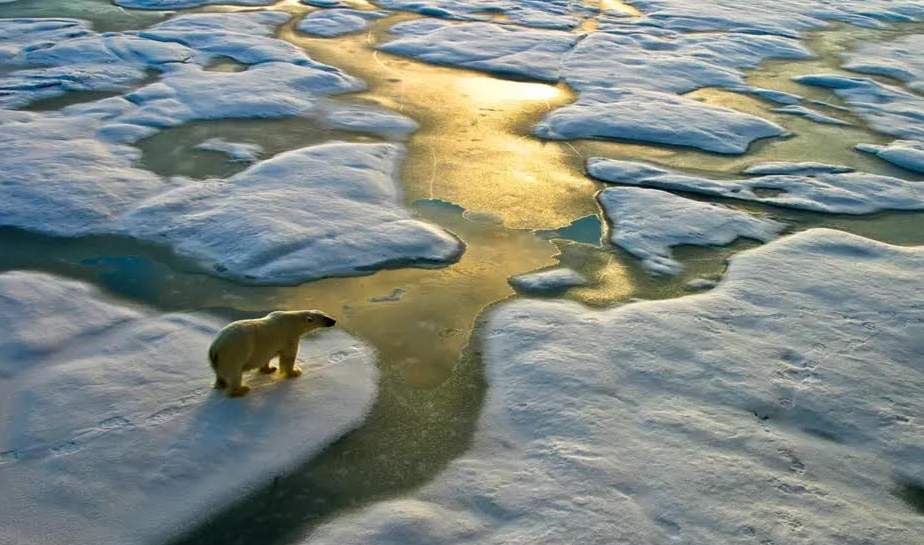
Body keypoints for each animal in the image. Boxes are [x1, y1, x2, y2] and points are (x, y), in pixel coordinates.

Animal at [208, 310, 337, 397]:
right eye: (325, 317)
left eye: (325, 314)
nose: (334, 321)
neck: (293, 321)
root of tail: (215, 348)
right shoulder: (289, 336)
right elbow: (288, 357)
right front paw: (295, 371)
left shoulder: (269, 346)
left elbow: (267, 357)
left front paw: (269, 369)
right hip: (234, 353)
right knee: (235, 374)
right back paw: (242, 389)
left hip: (219, 361)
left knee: (220, 374)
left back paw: (221, 384)